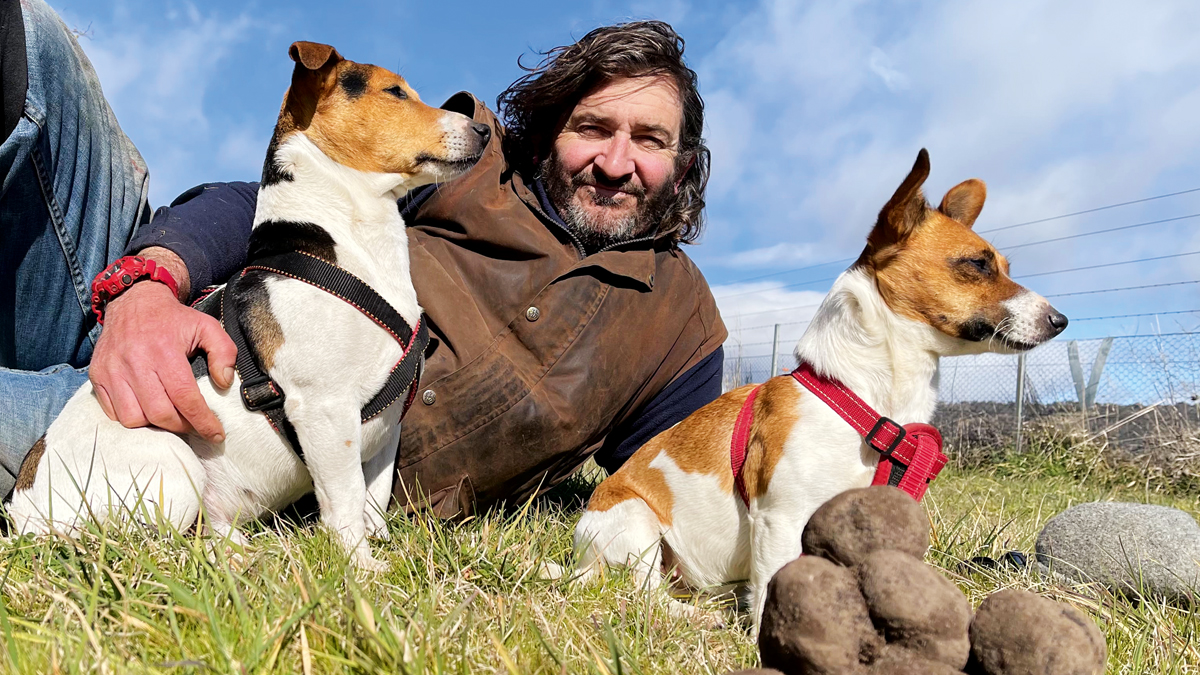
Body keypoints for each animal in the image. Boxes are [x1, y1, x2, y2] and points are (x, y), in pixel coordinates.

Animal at [9, 42, 487, 566]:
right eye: (395, 92)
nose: (484, 129)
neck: (346, 245)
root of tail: (22, 511)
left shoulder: (386, 425)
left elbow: (372, 501)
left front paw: (384, 552)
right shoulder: (323, 410)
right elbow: (344, 502)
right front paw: (362, 568)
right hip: (173, 464)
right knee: (144, 546)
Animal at [568, 149, 1070, 624]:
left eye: (1004, 266)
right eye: (977, 264)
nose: (1061, 321)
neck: (865, 398)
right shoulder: (782, 518)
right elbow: (773, 590)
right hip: (635, 522)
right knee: (646, 594)